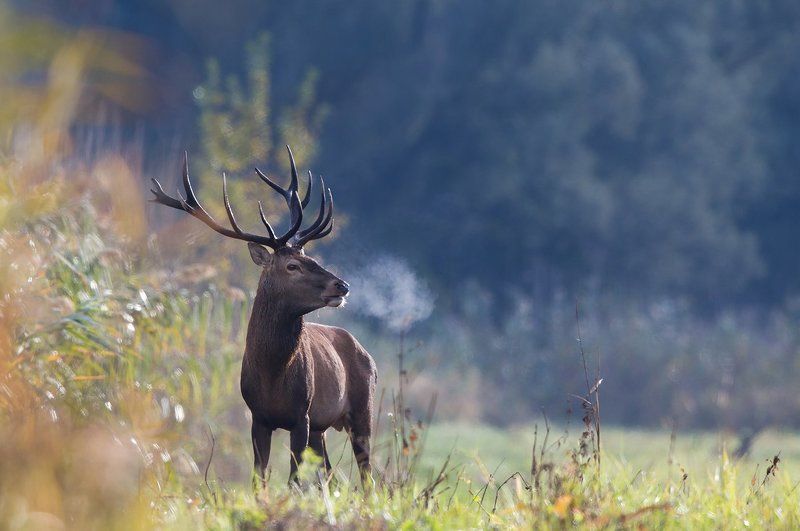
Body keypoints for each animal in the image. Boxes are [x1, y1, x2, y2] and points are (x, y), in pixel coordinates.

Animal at [149, 147, 377, 485]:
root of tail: (365, 352)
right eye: (292, 266)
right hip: (322, 427)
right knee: (332, 475)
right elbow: (259, 478)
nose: (343, 285)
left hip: (363, 408)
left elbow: (294, 481)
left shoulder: (301, 414)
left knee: (367, 477)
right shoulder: (258, 416)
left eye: (311, 258)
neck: (273, 374)